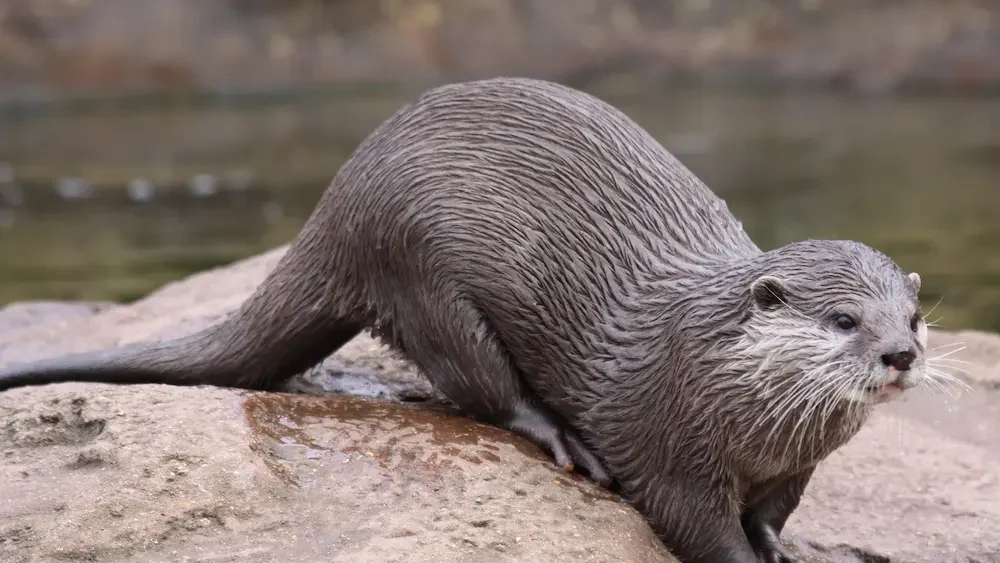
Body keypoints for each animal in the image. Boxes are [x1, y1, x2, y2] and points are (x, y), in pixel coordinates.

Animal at [0, 79, 936, 563]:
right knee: (479, 384)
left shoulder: (794, 467)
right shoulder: (671, 449)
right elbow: (701, 531)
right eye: (845, 317)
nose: (898, 354)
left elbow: (772, 516)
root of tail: (338, 204)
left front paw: (789, 549)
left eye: (916, 314)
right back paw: (562, 438)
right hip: (420, 269)